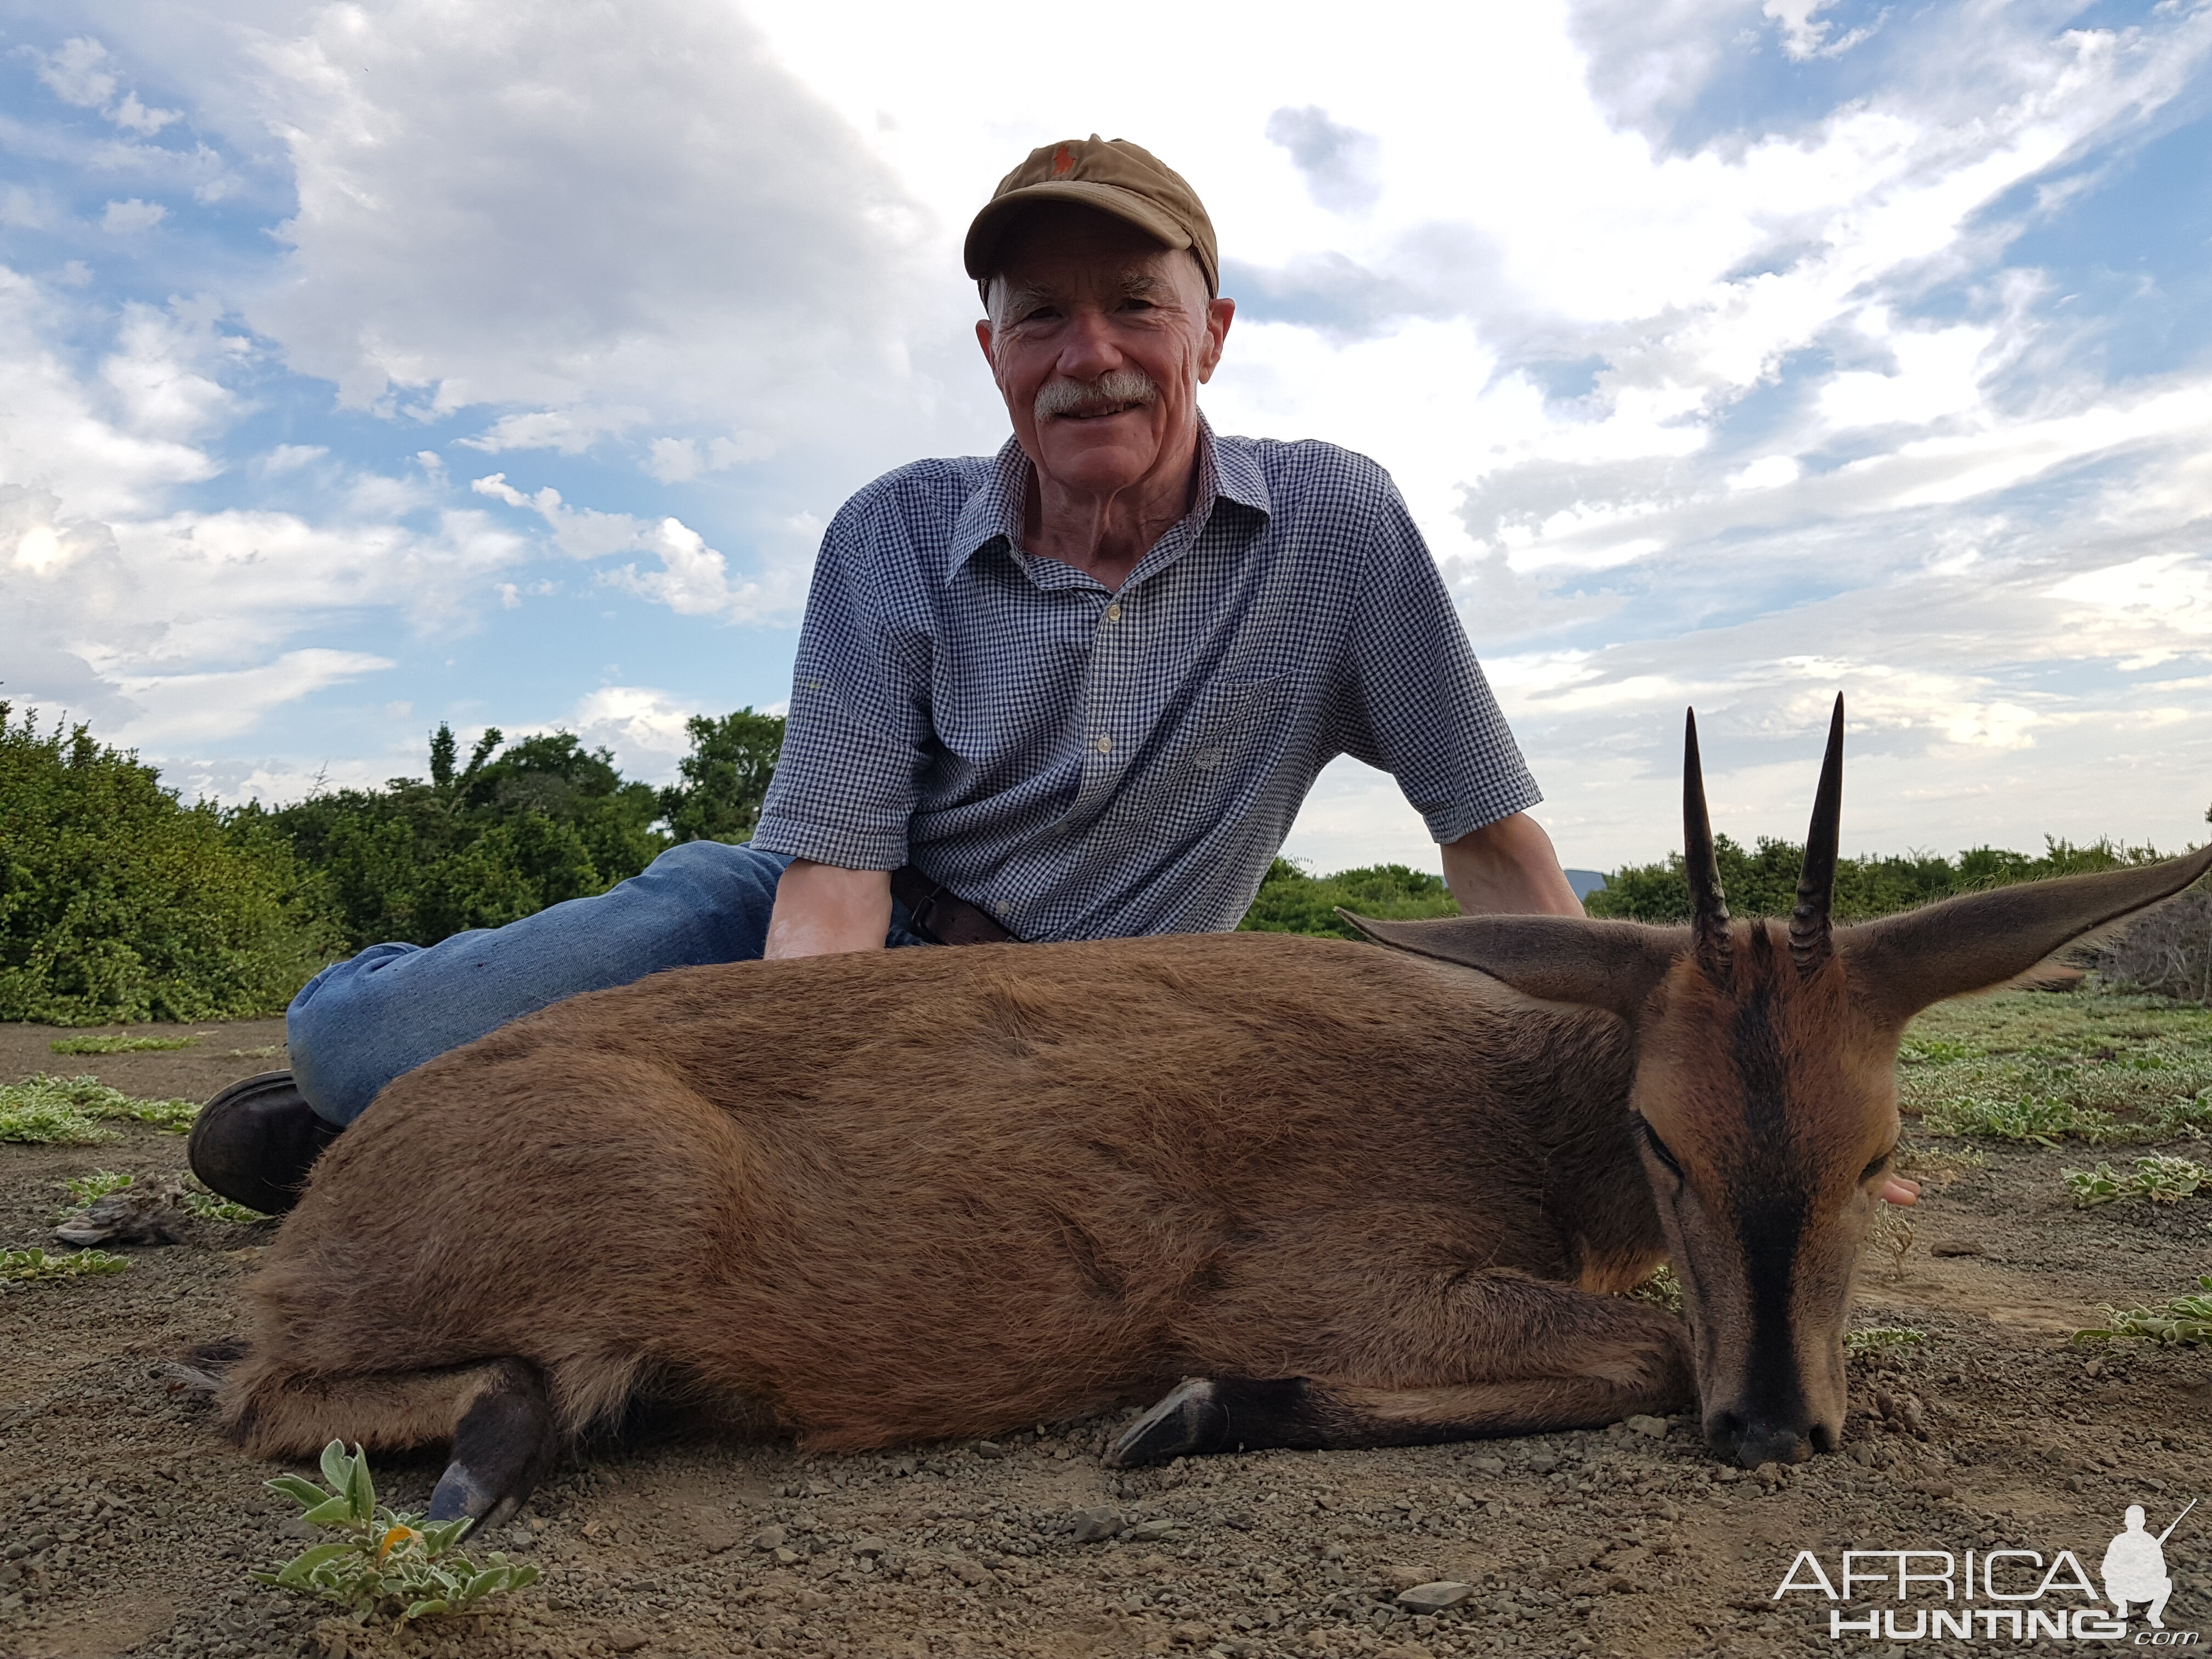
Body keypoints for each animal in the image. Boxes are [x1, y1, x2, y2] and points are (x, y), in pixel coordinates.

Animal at [208, 695, 2212, 1531]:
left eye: (1883, 1149)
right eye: (1666, 1136)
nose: (1777, 1432)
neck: (1511, 1086)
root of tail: (353, 1178)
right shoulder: (1328, 1276)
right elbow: (1638, 1351)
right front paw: (1186, 1411)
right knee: (267, 1390)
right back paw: (494, 1439)